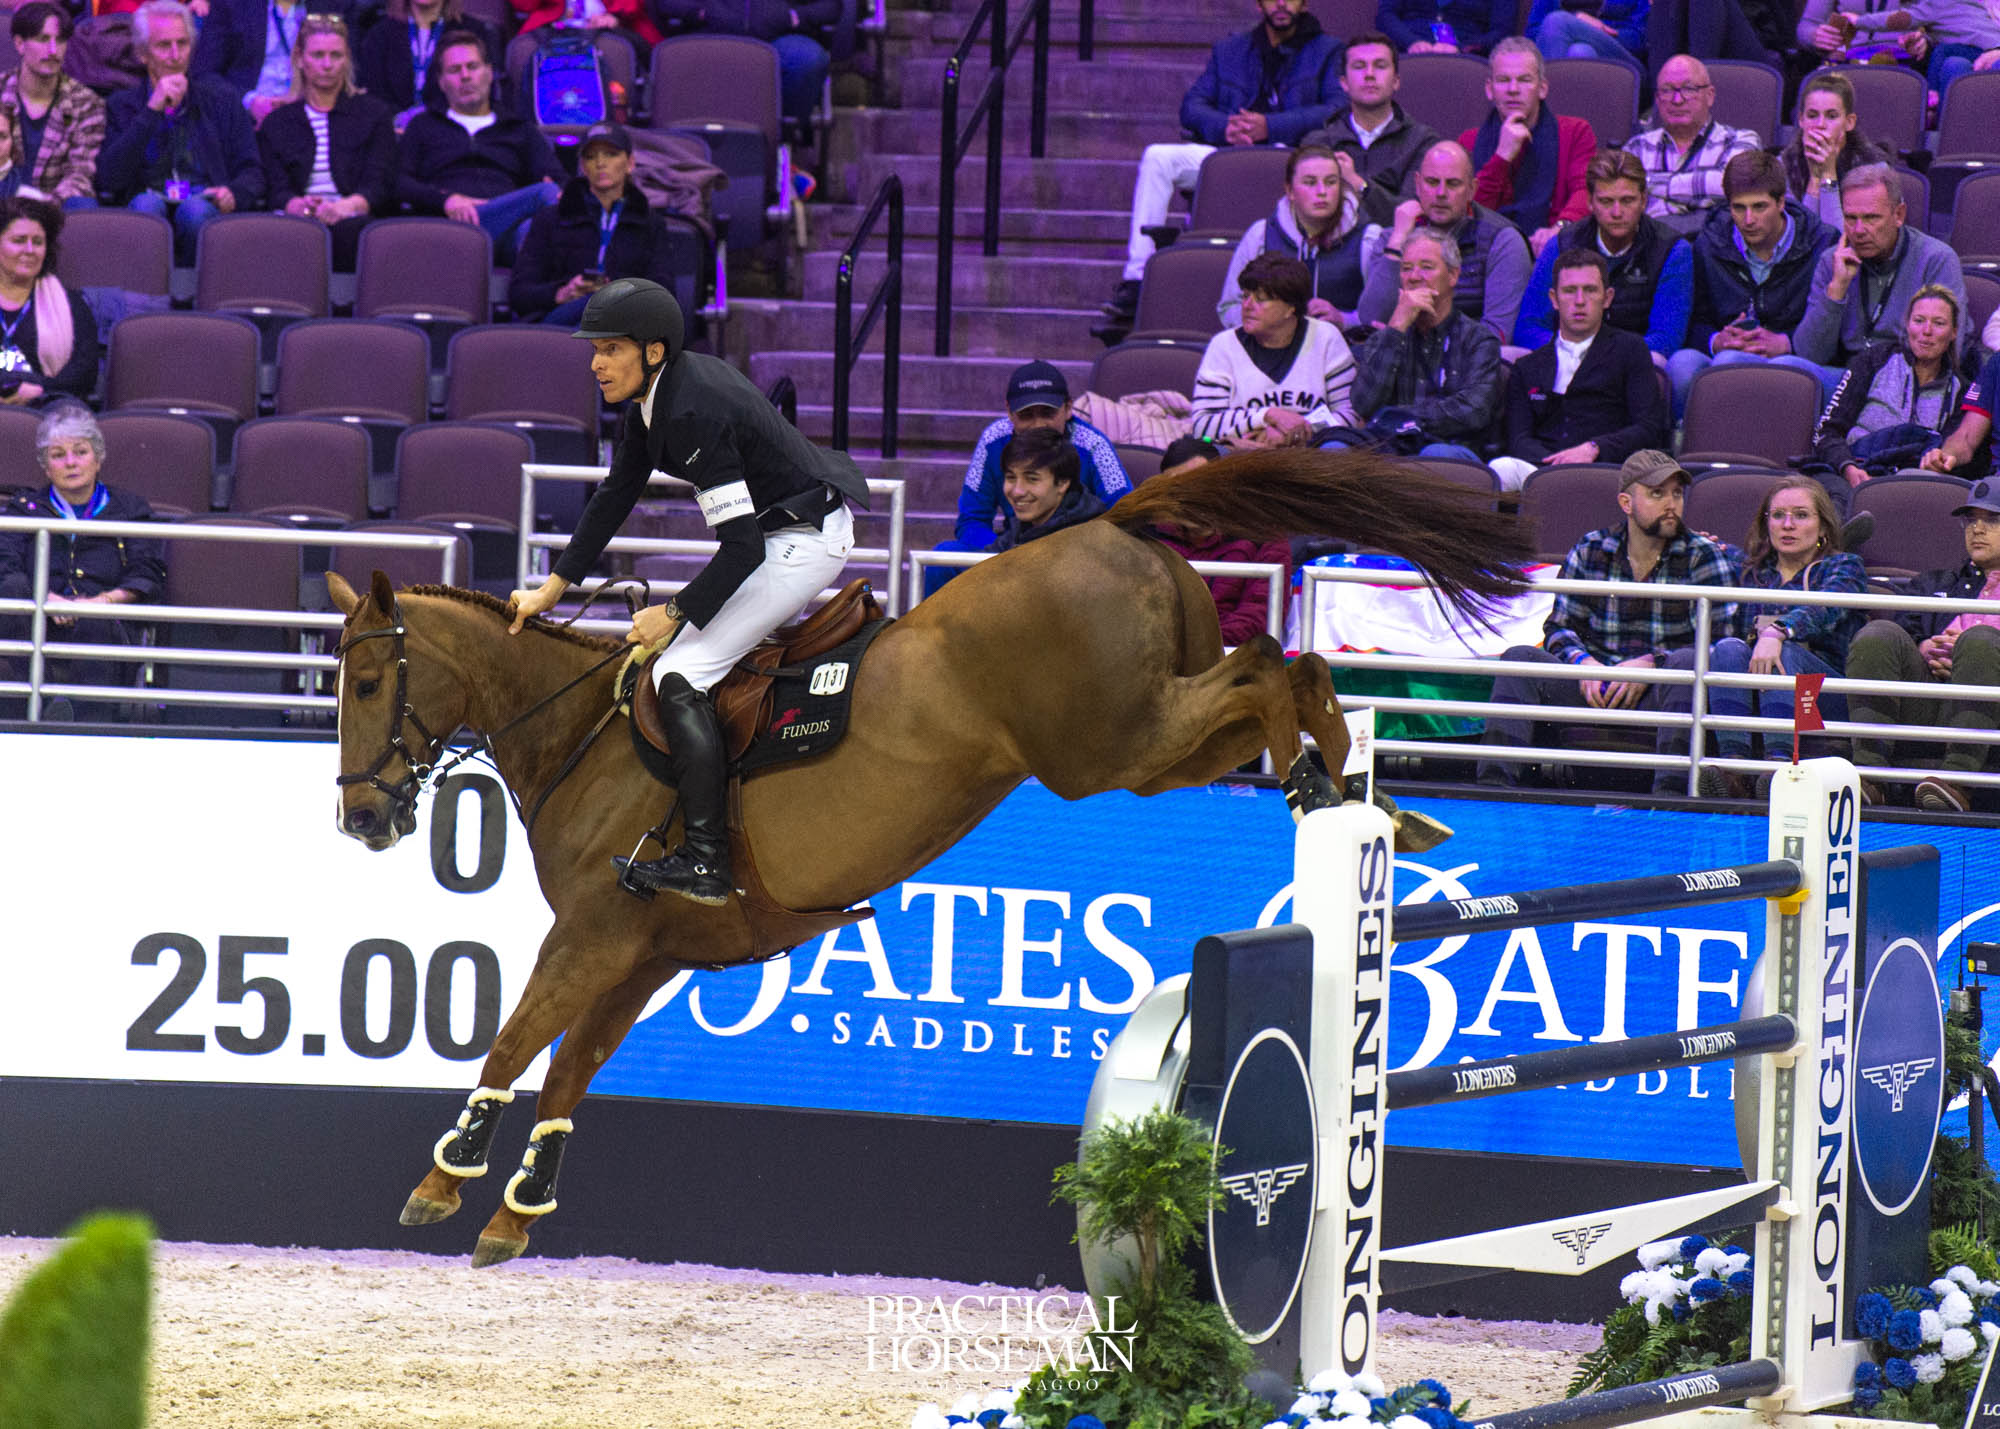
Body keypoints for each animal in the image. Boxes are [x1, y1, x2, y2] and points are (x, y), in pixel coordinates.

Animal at [328, 444, 1528, 1256]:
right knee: (1281, 672)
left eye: (370, 680)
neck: (583, 733)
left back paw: (1326, 782)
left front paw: (445, 1175)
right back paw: (1359, 797)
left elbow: (512, 1038)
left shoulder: (589, 936)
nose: (361, 819)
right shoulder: (643, 955)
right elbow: (569, 1065)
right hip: (1144, 747)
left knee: (1273, 667)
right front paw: (516, 1211)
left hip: (1112, 744)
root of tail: (1110, 524)